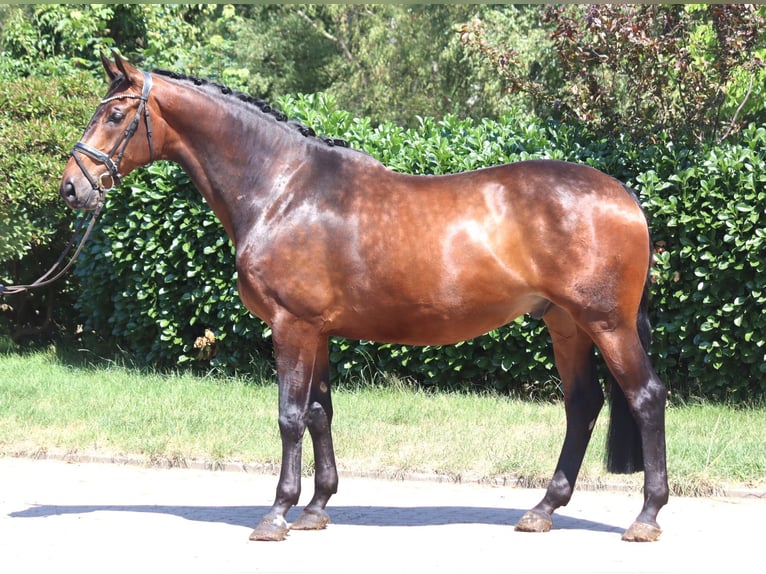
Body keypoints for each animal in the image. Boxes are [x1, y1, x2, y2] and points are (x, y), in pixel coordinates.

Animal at [59, 53, 668, 542]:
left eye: (115, 115)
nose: (72, 188)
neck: (282, 190)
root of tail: (624, 195)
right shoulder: (318, 331)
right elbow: (320, 413)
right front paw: (315, 508)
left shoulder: (292, 325)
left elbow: (289, 416)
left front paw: (276, 515)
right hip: (565, 323)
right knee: (583, 405)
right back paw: (543, 509)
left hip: (606, 323)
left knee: (645, 398)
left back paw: (645, 517)